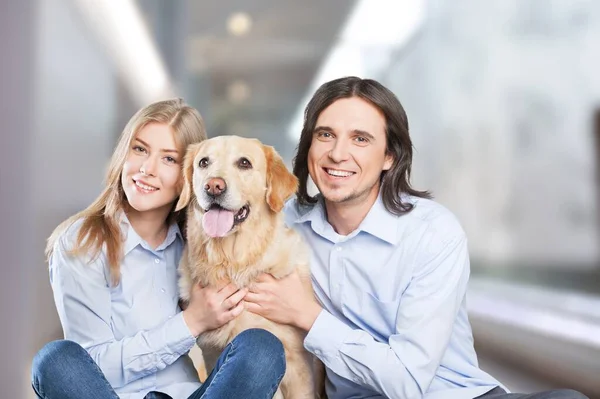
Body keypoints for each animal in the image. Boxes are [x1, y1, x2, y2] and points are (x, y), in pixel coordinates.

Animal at [175, 136, 322, 398]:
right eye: (203, 162)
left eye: (244, 163)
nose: (213, 186)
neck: (234, 262)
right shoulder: (211, 354)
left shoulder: (299, 368)